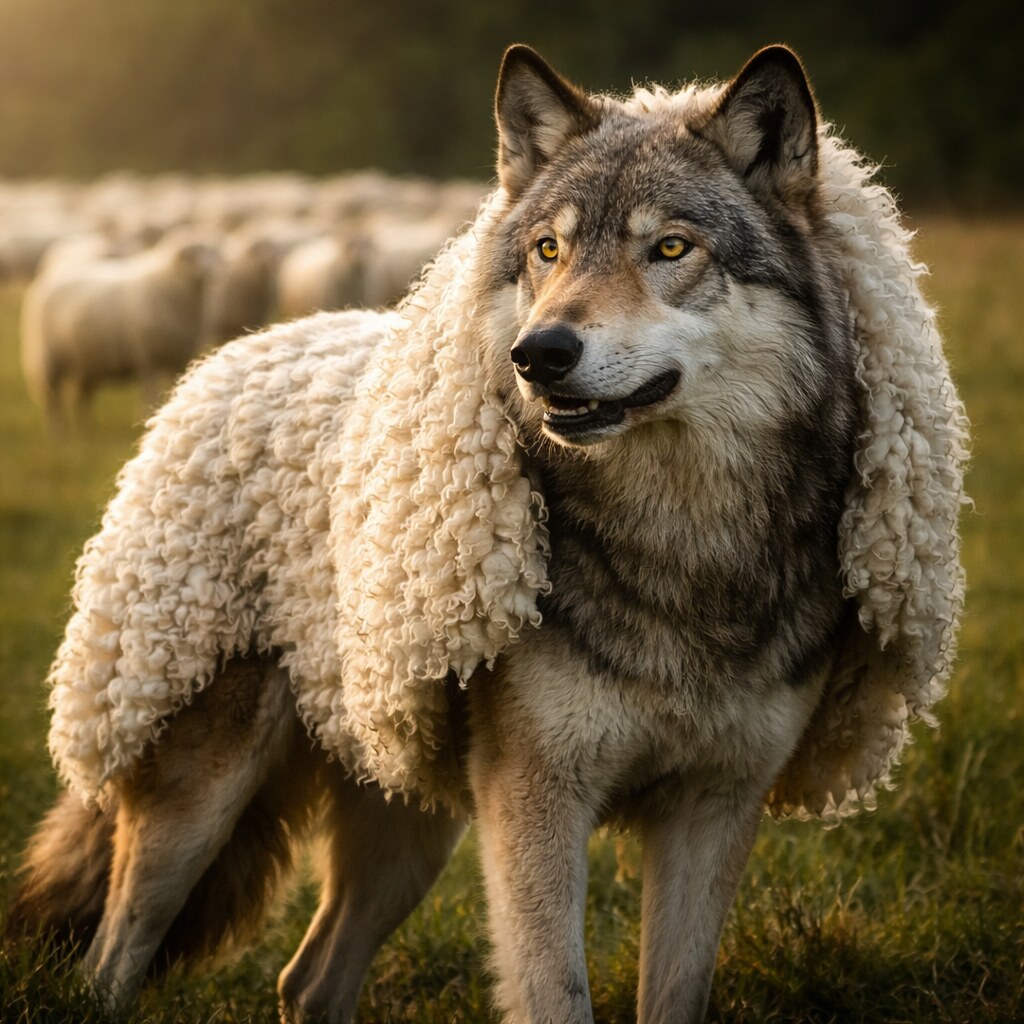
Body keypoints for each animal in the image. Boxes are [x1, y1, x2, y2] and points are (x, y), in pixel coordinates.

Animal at [21, 232, 221, 432]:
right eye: (194, 255)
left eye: (213, 252)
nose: (214, 271)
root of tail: (49, 278)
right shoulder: (146, 357)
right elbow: (148, 391)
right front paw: (145, 416)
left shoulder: (178, 357)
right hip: (48, 359)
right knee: (53, 400)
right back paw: (58, 430)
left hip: (86, 363)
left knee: (80, 397)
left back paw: (87, 428)